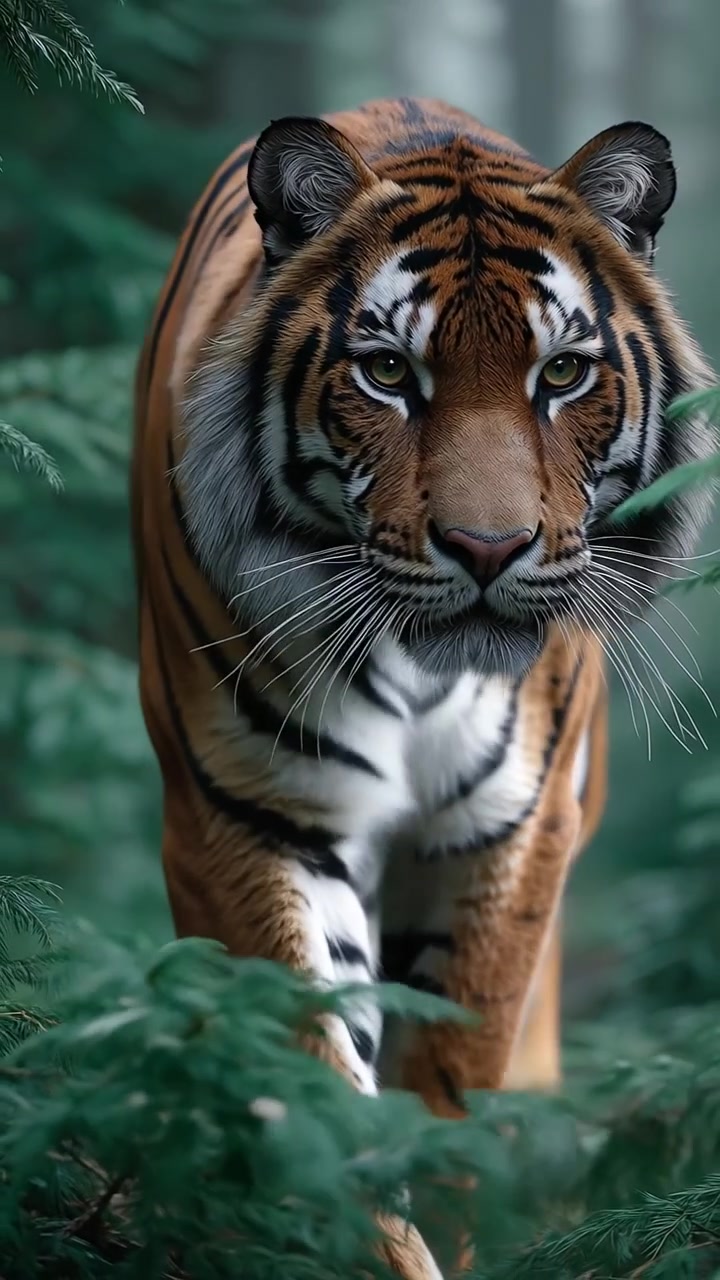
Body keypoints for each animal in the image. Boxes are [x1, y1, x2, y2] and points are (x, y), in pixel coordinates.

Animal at [132, 96, 714, 1278]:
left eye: (562, 375)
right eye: (389, 374)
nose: (488, 548)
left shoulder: (509, 832)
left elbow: (455, 1074)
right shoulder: (245, 820)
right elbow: (313, 1082)